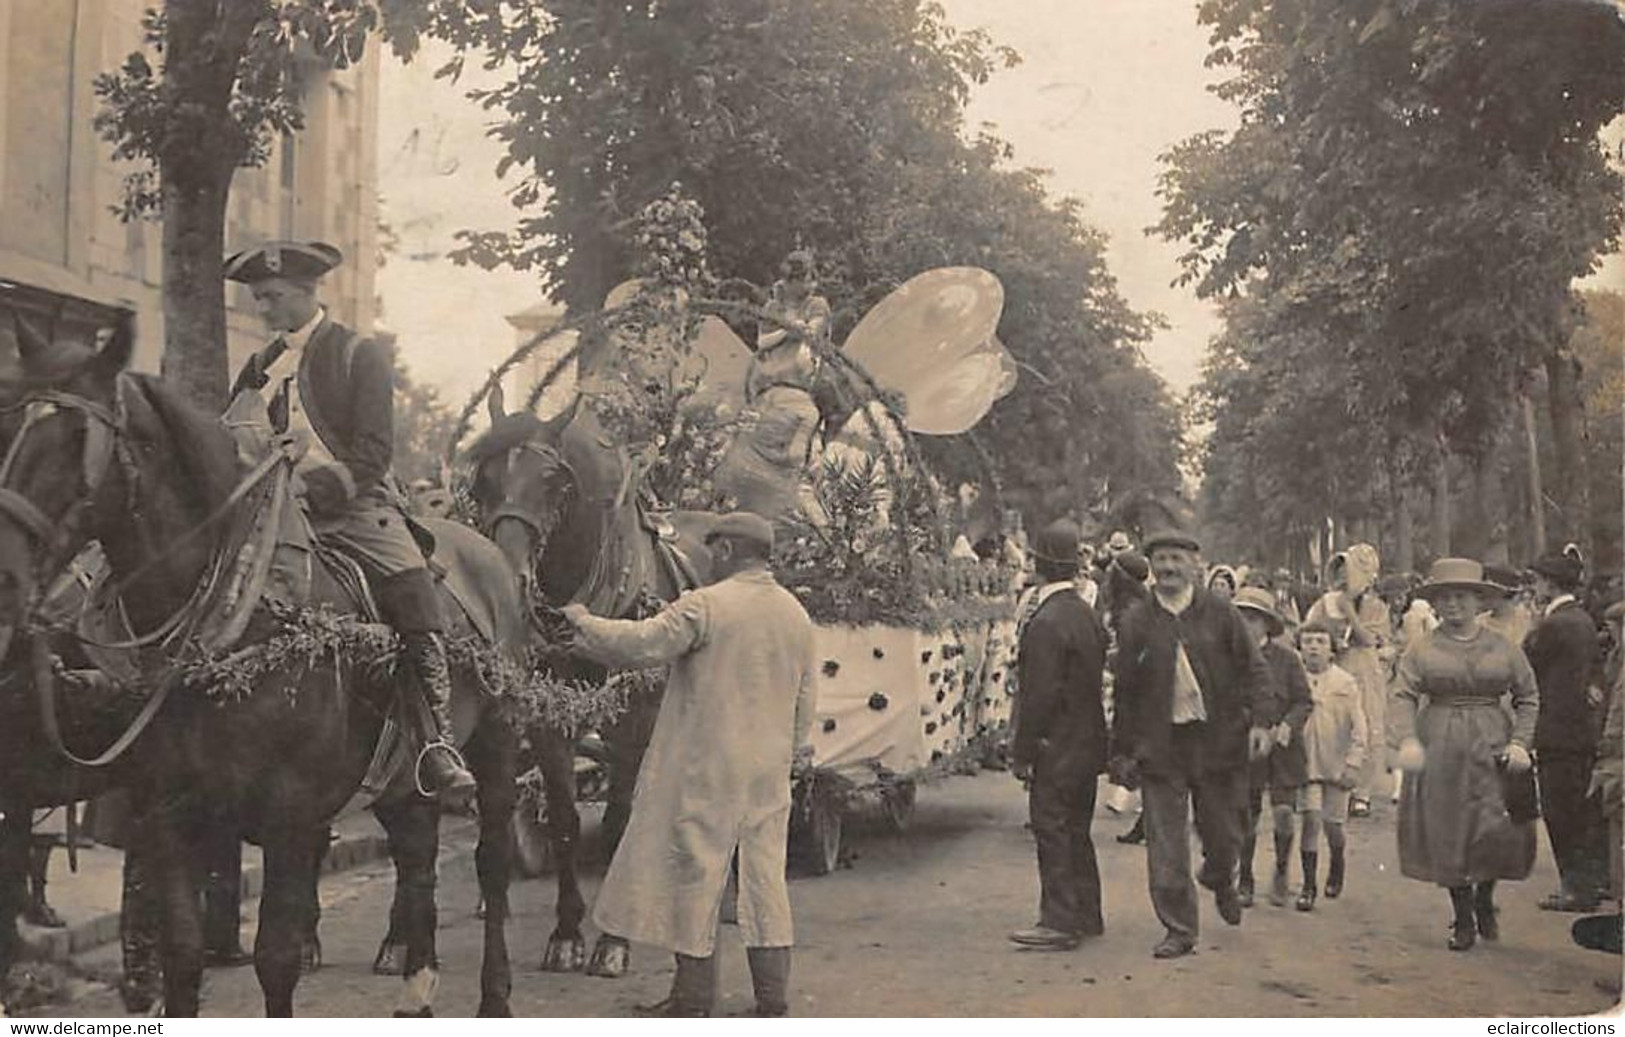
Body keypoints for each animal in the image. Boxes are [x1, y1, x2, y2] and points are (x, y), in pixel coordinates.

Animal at [0, 321, 526, 1020]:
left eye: (73, 441)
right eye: (10, 425)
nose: (5, 577)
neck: (235, 612)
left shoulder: (290, 818)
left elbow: (277, 959)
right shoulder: (169, 811)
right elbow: (183, 955)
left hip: (496, 747)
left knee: (492, 862)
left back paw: (494, 994)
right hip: (396, 778)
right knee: (418, 854)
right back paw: (416, 982)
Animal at [458, 386, 711, 981]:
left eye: (555, 483)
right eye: (482, 483)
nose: (506, 576)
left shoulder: (633, 722)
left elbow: (620, 821)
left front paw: (612, 943)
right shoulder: (551, 723)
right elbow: (567, 821)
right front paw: (568, 934)